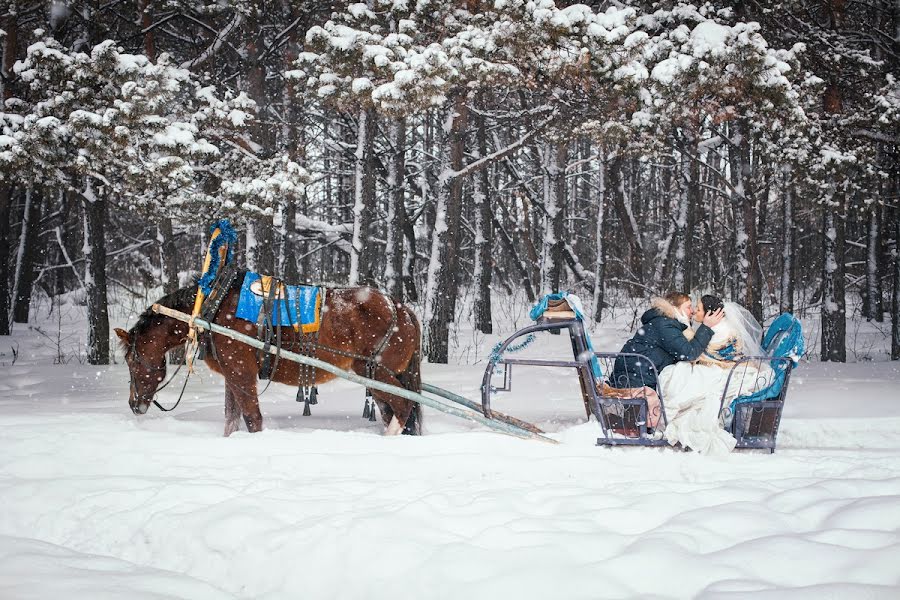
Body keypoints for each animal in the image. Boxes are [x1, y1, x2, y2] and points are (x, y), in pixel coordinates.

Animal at [114, 276, 424, 436]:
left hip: (374, 370)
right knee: (394, 409)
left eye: (131, 360)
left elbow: (252, 419)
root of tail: (402, 309)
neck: (212, 308)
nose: (133, 404)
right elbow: (230, 420)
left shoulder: (241, 372)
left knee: (403, 405)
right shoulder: (232, 375)